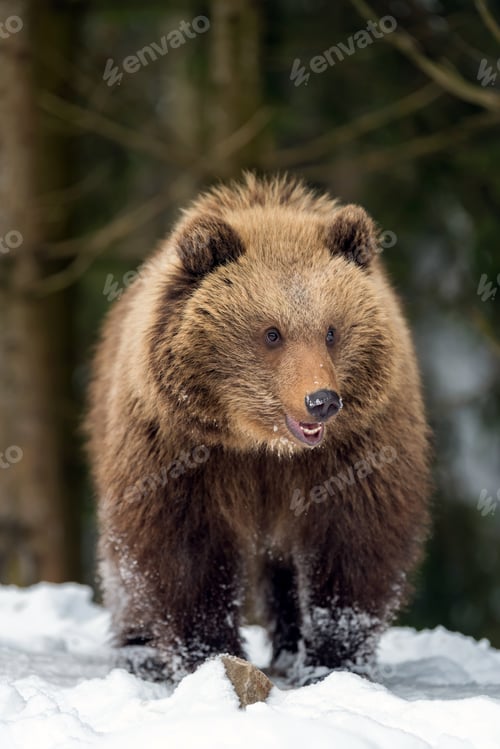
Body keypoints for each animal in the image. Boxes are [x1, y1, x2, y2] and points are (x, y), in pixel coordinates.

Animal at [86, 173, 430, 684]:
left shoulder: (356, 449)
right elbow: (184, 551)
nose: (321, 400)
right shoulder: (181, 452)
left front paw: (332, 661)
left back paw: (289, 649)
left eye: (331, 330)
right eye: (272, 333)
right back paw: (138, 650)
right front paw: (211, 655)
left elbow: (353, 544)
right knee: (122, 562)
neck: (263, 445)